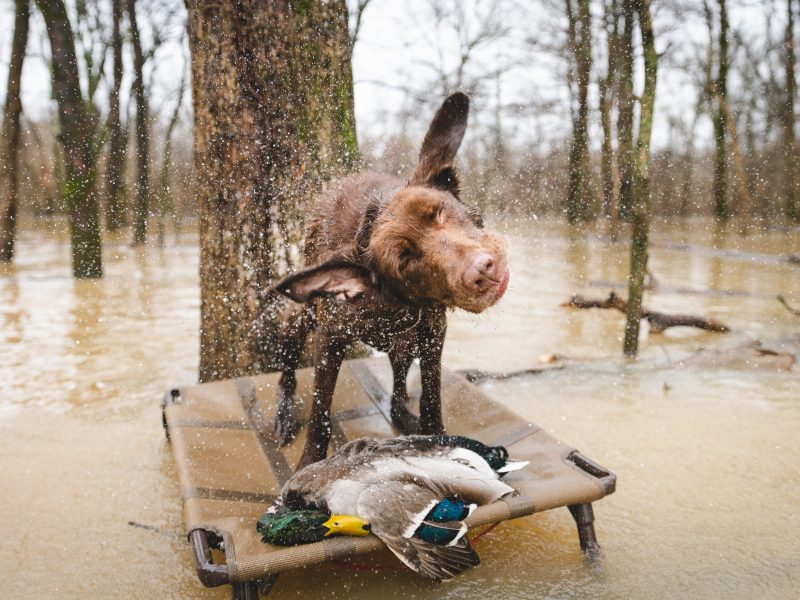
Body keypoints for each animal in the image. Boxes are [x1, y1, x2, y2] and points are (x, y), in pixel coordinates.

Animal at [272, 94, 510, 468]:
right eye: (405, 259)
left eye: (439, 211)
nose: (482, 270)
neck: (392, 305)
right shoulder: (329, 338)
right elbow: (320, 413)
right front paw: (310, 463)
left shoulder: (432, 333)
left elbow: (430, 398)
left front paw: (438, 438)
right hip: (297, 318)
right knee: (287, 371)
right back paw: (283, 413)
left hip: (405, 345)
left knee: (398, 395)